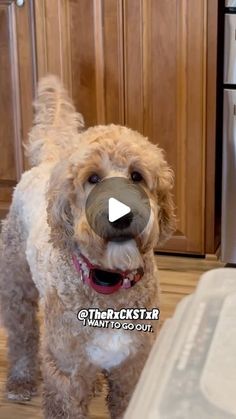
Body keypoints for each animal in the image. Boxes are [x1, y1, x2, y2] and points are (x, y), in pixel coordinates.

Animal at [0, 76, 175, 419]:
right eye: (93, 178)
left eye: (137, 175)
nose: (122, 215)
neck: (109, 285)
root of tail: (48, 162)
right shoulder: (65, 370)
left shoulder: (133, 366)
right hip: (16, 288)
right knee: (22, 336)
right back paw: (21, 380)